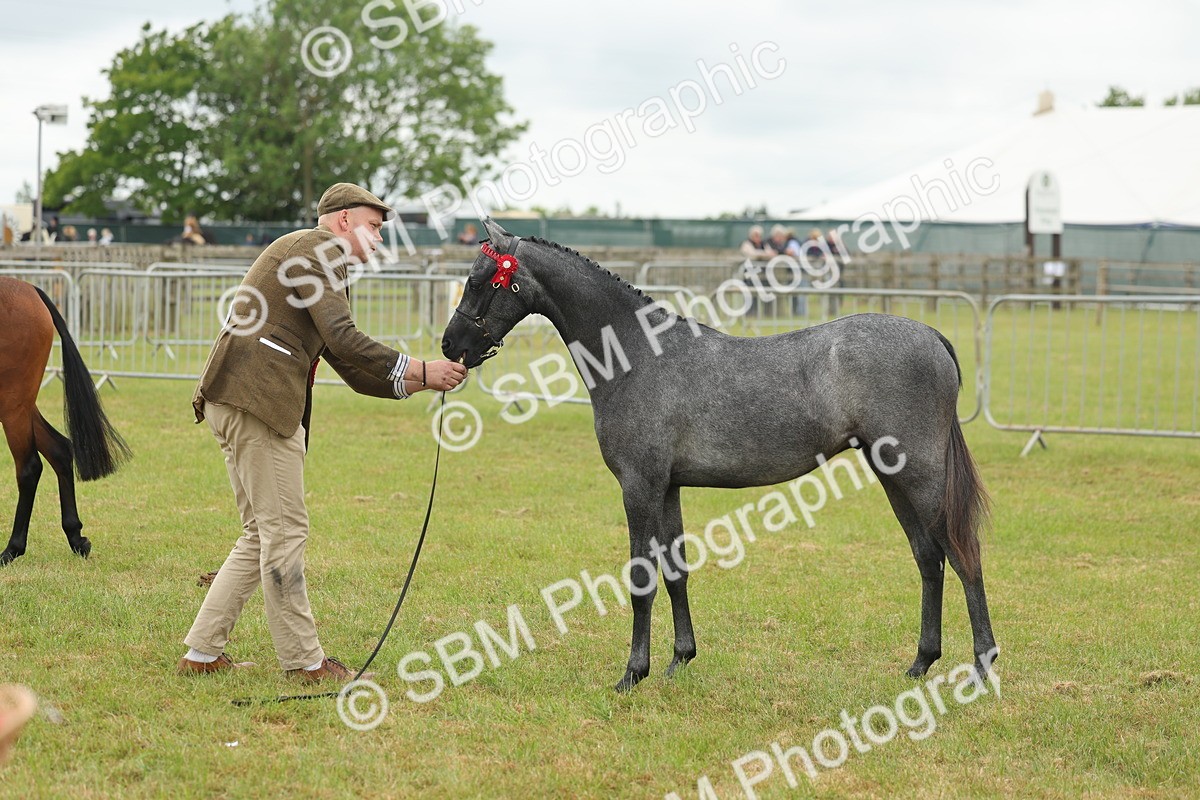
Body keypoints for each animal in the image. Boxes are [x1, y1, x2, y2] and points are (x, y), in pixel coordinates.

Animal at [0, 277, 129, 566]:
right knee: (58, 449)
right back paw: (76, 537)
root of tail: (29, 288)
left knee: (29, 467)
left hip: (12, 403)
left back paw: (12, 549)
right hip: (21, 403)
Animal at [441, 219, 997, 692]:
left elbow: (640, 578)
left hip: (921, 475)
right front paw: (678, 660)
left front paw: (632, 674)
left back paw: (982, 668)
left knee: (962, 555)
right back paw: (921, 662)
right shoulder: (667, 487)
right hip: (892, 474)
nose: (450, 346)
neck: (638, 355)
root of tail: (931, 336)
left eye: (479, 279)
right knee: (928, 557)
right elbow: (674, 571)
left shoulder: (639, 486)